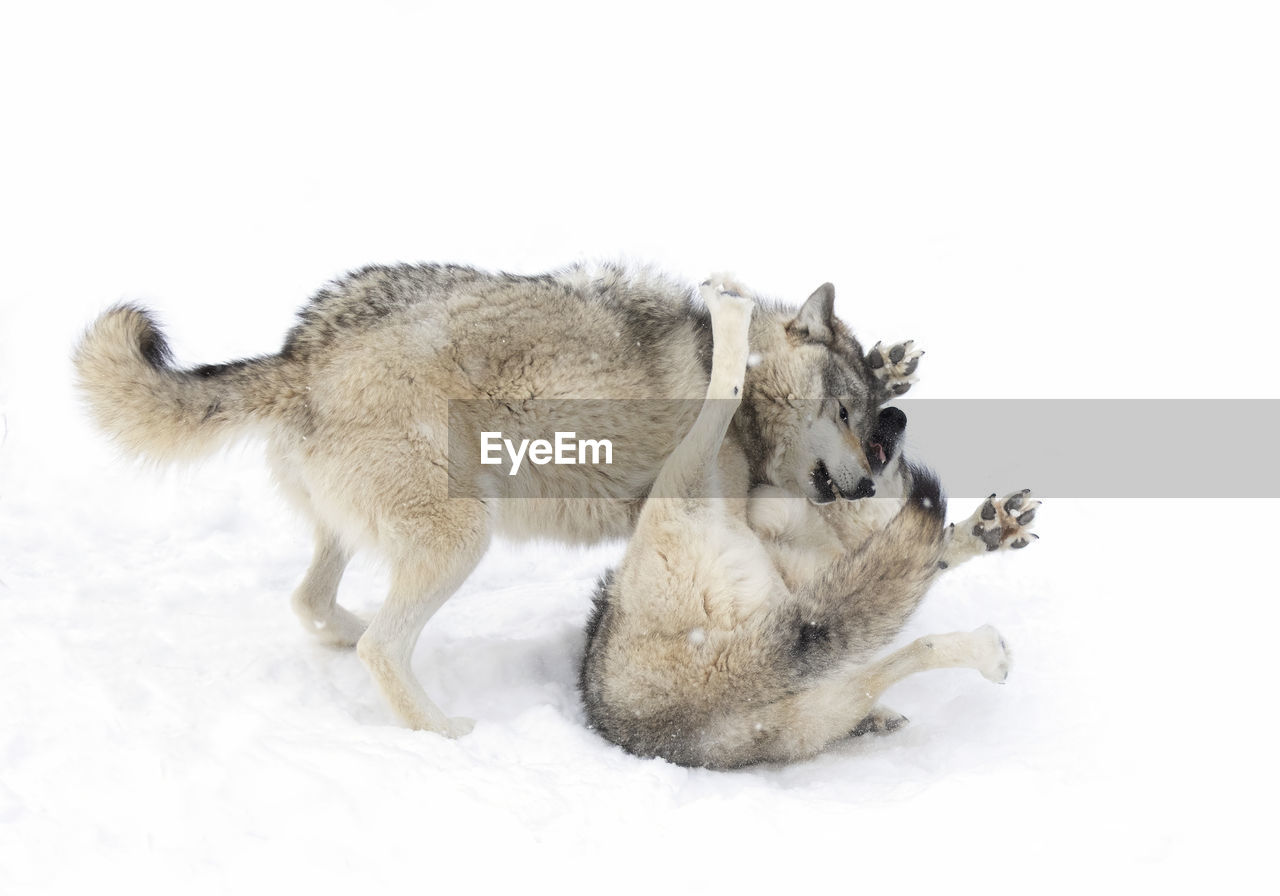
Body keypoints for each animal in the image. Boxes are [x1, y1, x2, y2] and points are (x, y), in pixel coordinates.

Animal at [74, 258, 916, 737]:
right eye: (843, 413)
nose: (867, 477)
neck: (754, 413)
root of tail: (298, 355)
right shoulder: (717, 510)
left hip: (370, 534)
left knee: (314, 603)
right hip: (463, 535)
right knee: (382, 645)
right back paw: (443, 733)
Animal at [581, 281, 1039, 768]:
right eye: (851, 416)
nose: (896, 416)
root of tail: (693, 697)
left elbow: (930, 554)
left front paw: (990, 528)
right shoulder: (789, 518)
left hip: (825, 699)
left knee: (903, 655)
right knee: (723, 396)